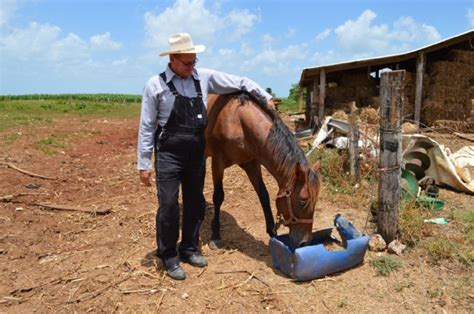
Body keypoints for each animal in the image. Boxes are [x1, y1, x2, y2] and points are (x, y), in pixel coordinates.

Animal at [205, 91, 322, 248]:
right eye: (303, 201)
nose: (305, 242)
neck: (237, 121)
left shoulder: (252, 164)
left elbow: (264, 196)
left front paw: (273, 233)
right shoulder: (217, 163)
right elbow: (218, 197)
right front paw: (215, 235)